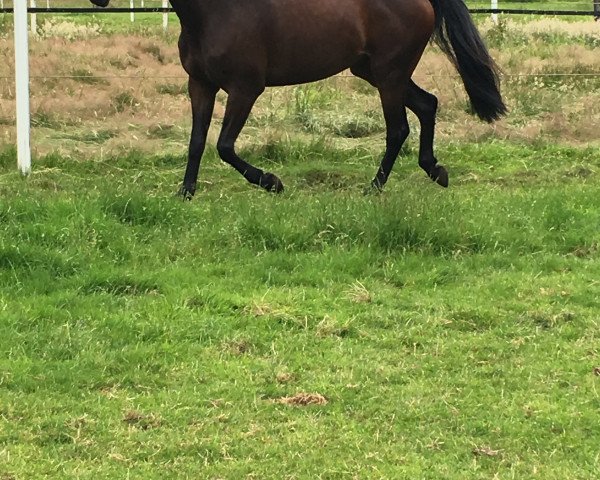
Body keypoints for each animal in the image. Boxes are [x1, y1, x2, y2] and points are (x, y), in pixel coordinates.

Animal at [90, 0, 506, 197]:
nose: (98, 0)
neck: (214, 11)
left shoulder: (245, 88)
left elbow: (224, 146)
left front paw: (272, 182)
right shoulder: (200, 85)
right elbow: (195, 143)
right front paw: (185, 193)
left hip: (389, 74)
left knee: (398, 129)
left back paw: (373, 188)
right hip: (374, 72)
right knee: (427, 104)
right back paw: (436, 171)